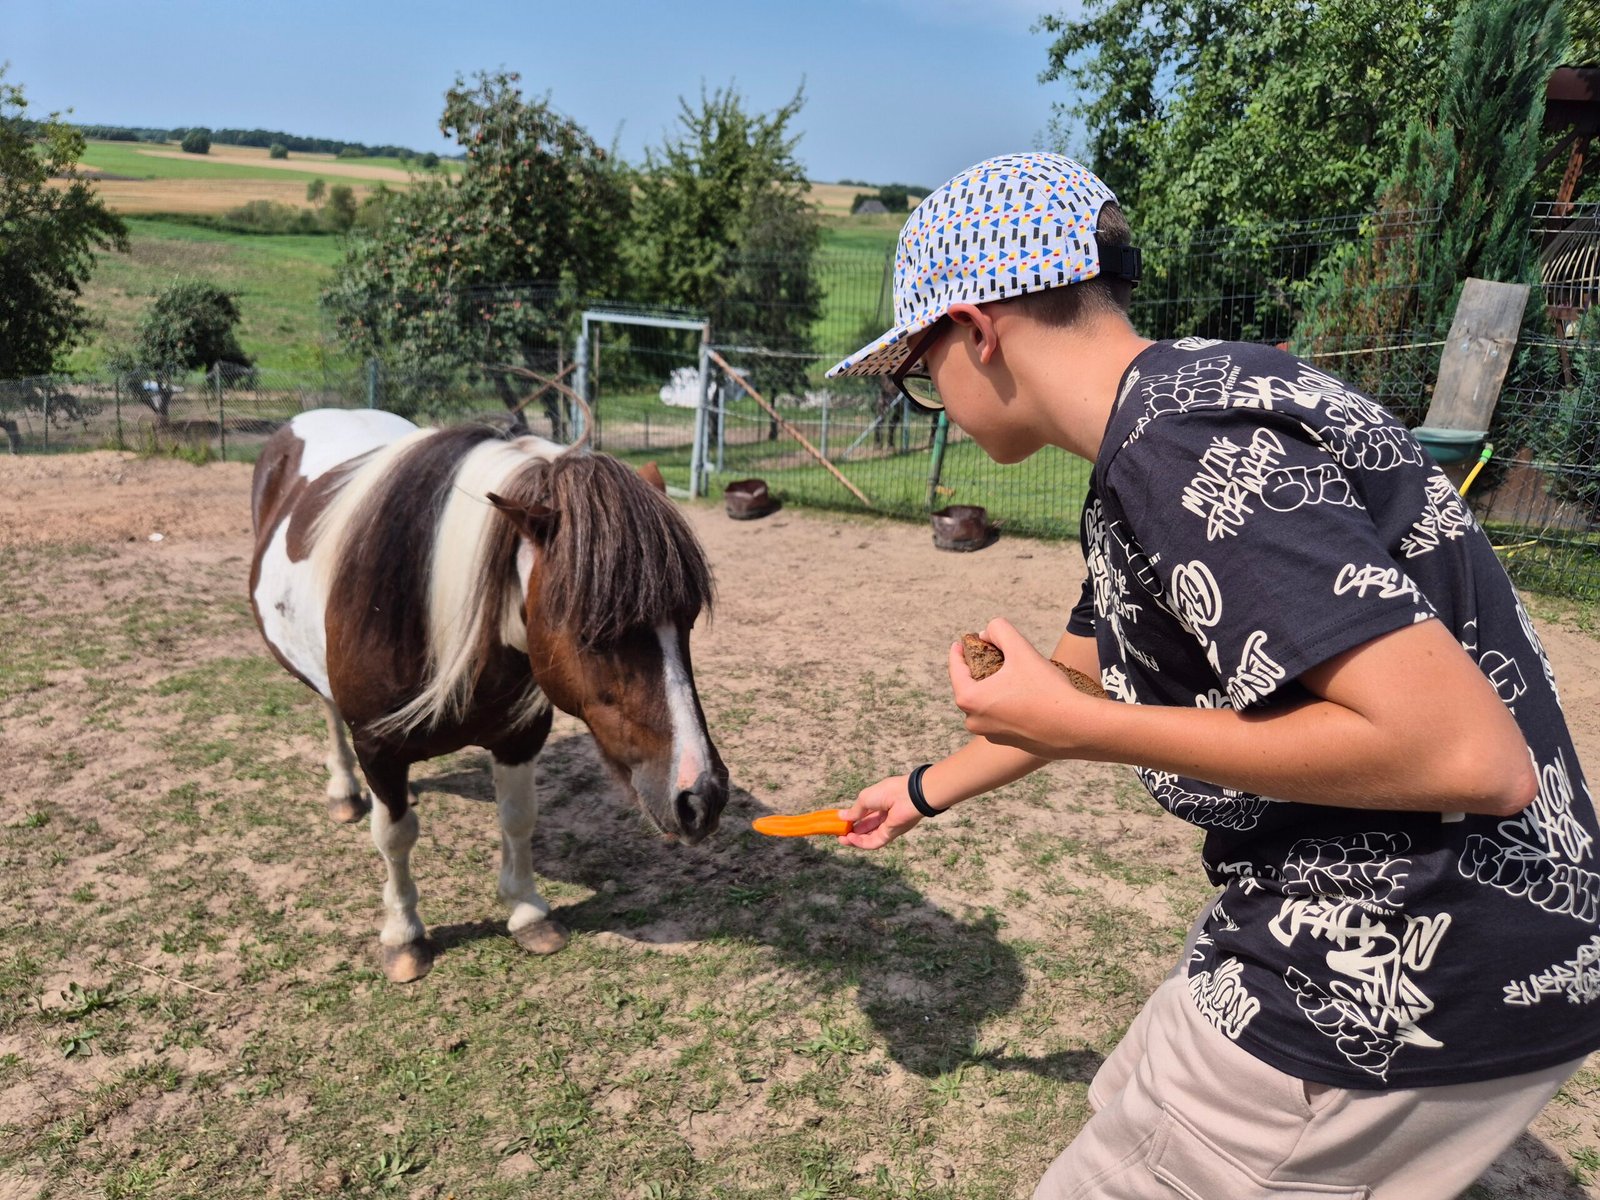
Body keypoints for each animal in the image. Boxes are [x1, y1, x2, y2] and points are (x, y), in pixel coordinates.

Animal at [248, 408, 727, 983]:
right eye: (593, 633)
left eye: (688, 620)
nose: (701, 796)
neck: (428, 615)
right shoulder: (377, 748)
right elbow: (394, 837)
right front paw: (404, 936)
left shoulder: (519, 737)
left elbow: (517, 815)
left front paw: (527, 912)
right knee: (327, 711)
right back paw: (344, 791)